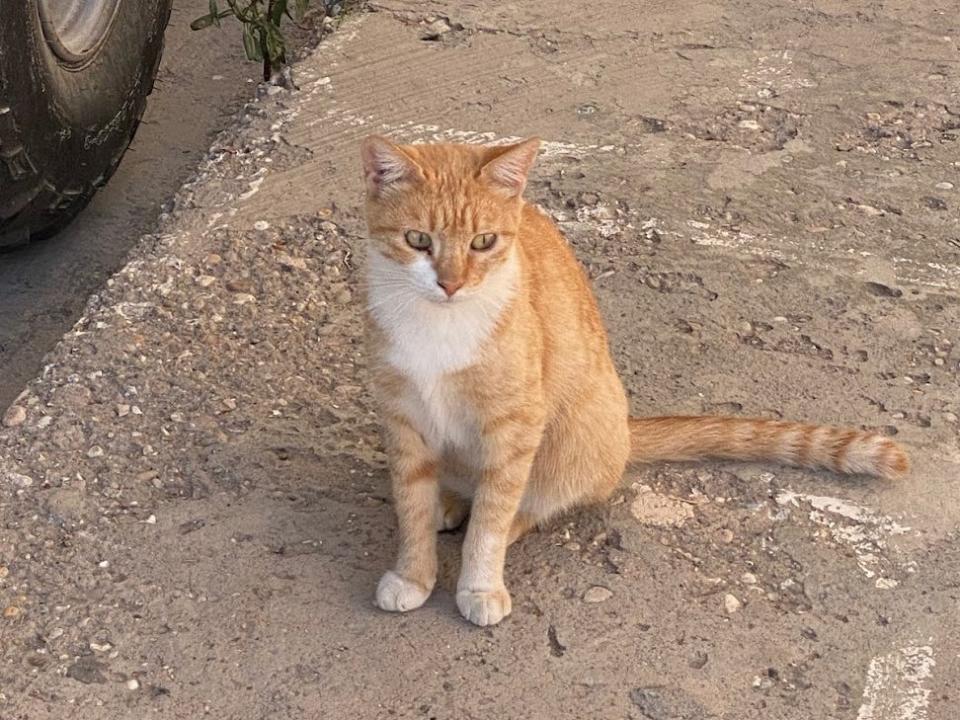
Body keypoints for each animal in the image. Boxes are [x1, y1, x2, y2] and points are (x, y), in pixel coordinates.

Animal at [360, 134, 908, 624]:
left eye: (483, 242)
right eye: (418, 240)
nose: (451, 284)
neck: (439, 326)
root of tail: (625, 431)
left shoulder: (515, 427)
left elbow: (493, 517)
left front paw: (479, 584)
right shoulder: (402, 418)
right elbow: (411, 504)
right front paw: (413, 573)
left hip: (572, 440)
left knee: (529, 504)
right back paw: (448, 503)